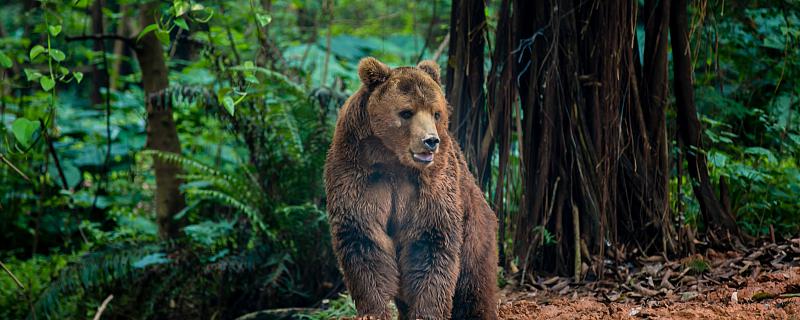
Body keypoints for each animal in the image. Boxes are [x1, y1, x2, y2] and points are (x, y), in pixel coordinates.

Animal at [324, 56, 500, 318]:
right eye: (406, 112)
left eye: (436, 113)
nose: (430, 140)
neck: (392, 158)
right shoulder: (357, 172)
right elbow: (363, 237)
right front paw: (373, 311)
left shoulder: (432, 181)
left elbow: (431, 241)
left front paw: (427, 312)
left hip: (476, 227)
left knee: (473, 281)